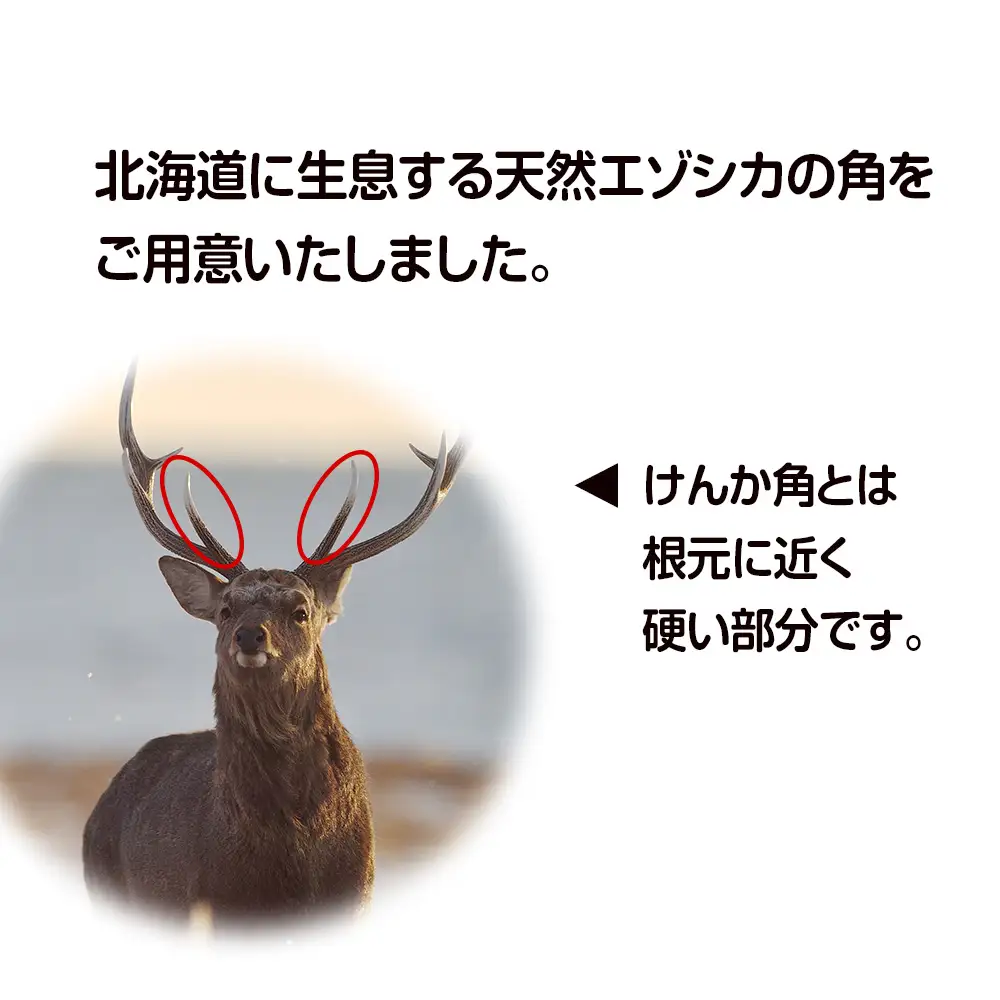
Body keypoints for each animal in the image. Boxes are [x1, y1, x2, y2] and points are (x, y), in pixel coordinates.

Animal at [82, 363, 466, 928]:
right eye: (225, 610)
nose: (249, 635)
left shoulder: (357, 891)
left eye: (300, 611)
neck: (293, 854)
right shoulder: (217, 903)